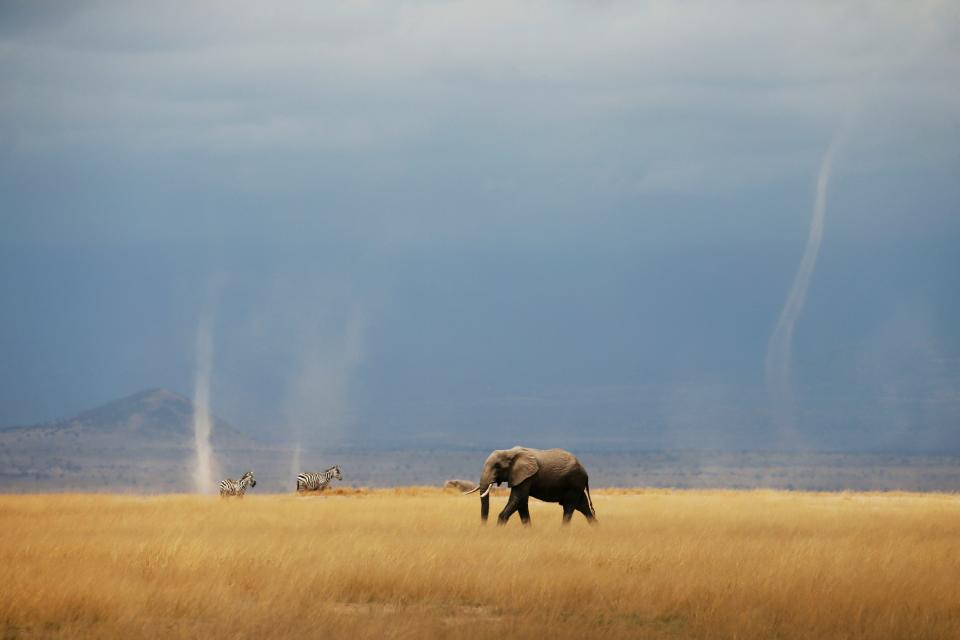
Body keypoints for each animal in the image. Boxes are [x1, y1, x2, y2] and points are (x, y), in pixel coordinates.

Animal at [464, 444, 596, 524]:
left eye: (497, 466)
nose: (484, 526)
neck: (510, 452)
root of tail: (586, 473)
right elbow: (521, 503)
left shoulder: (526, 476)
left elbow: (518, 498)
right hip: (576, 485)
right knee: (583, 506)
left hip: (574, 482)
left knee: (569, 507)